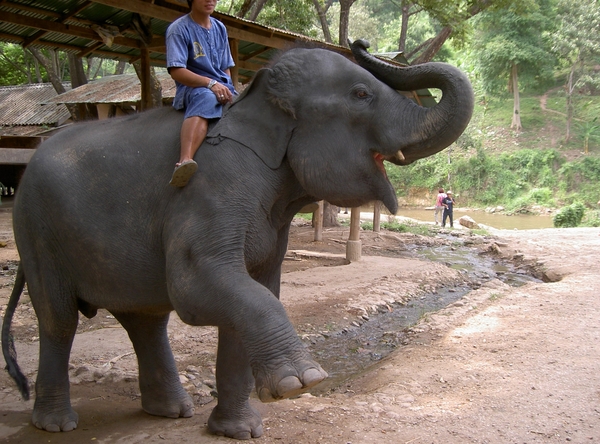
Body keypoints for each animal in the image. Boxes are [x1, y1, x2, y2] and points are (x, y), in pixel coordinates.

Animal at [1, 40, 474, 438]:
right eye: (361, 95)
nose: (360, 43)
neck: (254, 99)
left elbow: (254, 288)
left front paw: (241, 431)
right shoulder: (210, 186)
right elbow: (198, 286)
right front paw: (301, 383)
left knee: (145, 318)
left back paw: (172, 411)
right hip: (36, 229)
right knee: (59, 318)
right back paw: (57, 424)